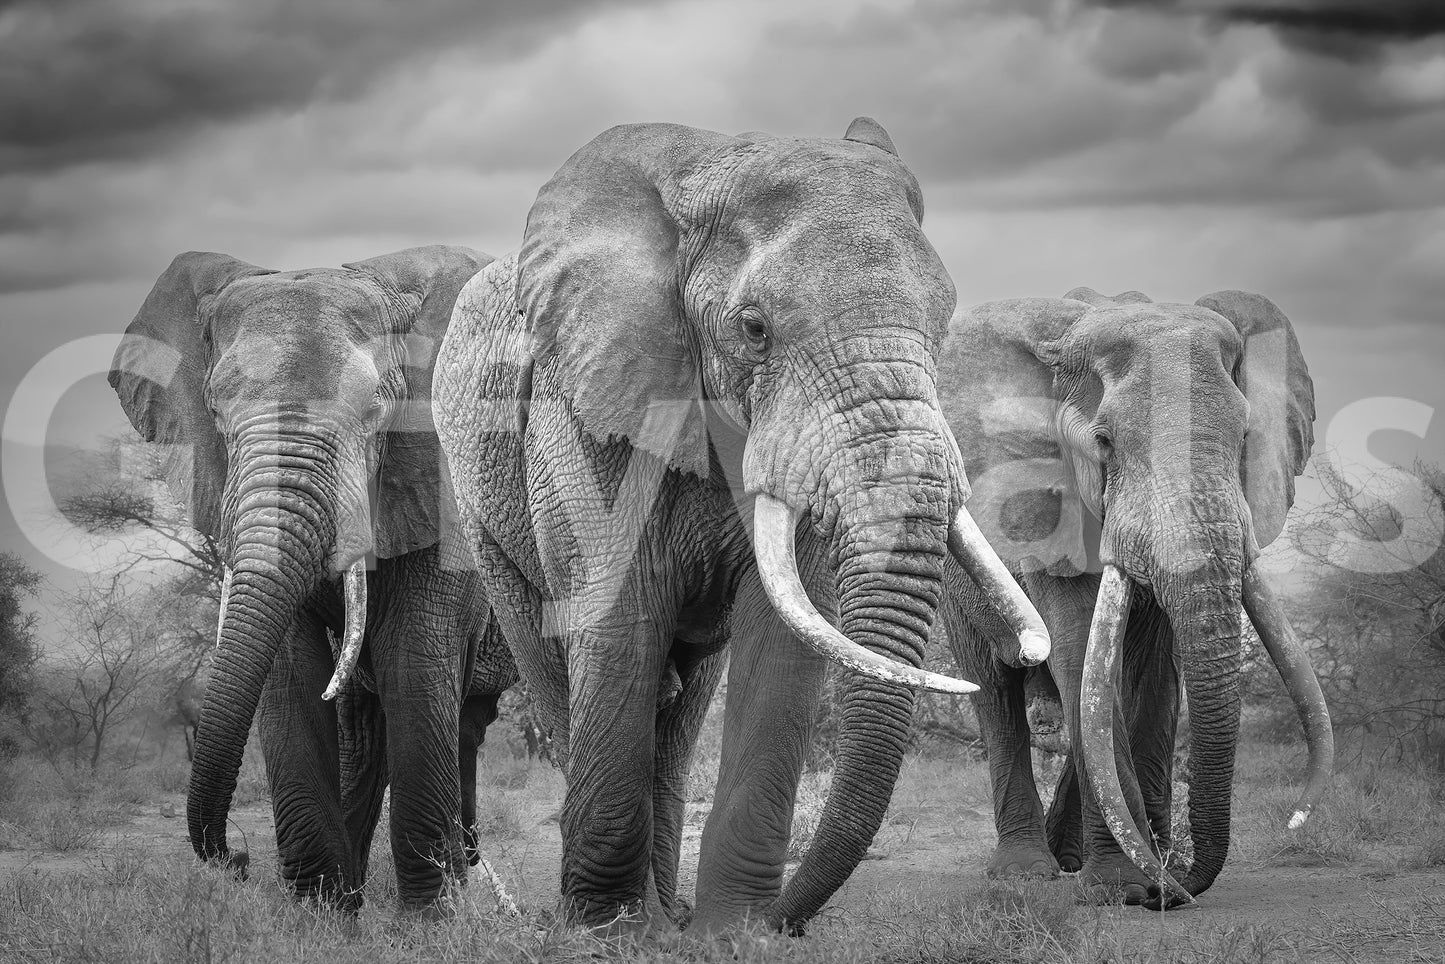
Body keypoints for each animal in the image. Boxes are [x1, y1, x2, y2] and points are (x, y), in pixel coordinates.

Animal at [109, 245, 520, 911]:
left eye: (377, 411)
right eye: (215, 412)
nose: (238, 858)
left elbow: (417, 661)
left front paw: (428, 919)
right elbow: (291, 671)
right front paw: (320, 913)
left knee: (461, 718)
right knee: (365, 725)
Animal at [432, 118, 1049, 935]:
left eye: (942, 324)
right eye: (754, 328)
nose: (787, 919)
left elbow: (781, 638)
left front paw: (732, 932)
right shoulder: (585, 409)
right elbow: (616, 619)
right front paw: (610, 931)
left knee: (687, 699)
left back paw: (670, 910)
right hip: (483, 515)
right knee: (554, 665)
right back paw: (622, 913)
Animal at [936, 287, 1334, 907]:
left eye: (1245, 439)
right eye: (1104, 444)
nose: (1179, 887)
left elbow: (1150, 673)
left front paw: (1155, 875)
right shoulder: (1044, 509)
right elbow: (1080, 655)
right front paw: (1127, 887)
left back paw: (1073, 858)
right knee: (996, 690)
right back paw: (1026, 871)